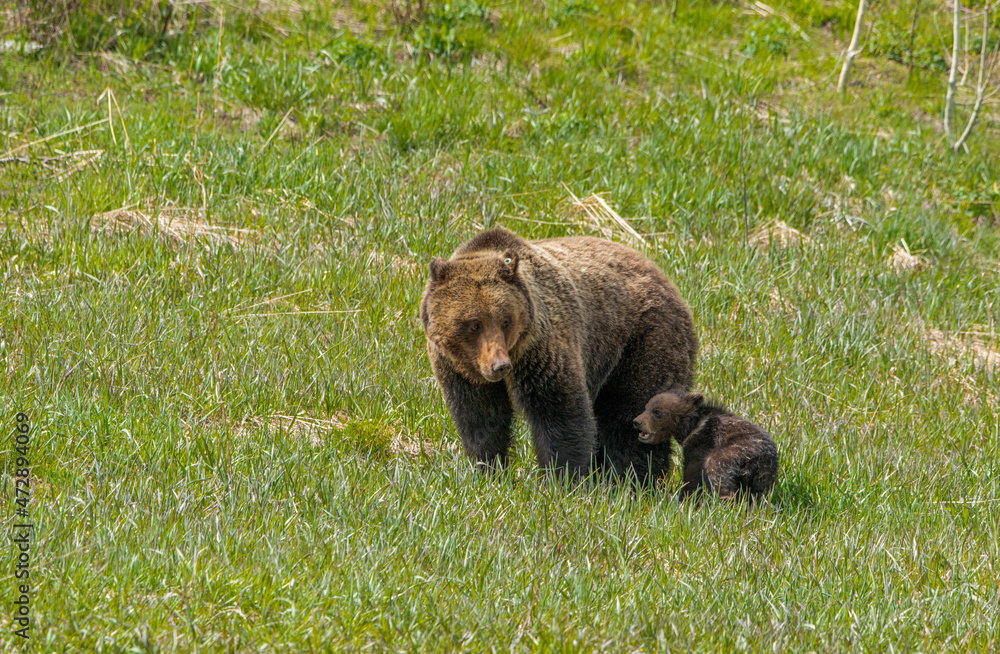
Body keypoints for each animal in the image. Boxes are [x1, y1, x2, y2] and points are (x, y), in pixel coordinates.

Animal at [420, 227, 698, 484]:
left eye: (505, 321)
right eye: (474, 324)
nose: (500, 365)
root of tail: (666, 279)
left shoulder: (541, 351)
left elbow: (560, 415)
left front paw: (562, 480)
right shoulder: (458, 369)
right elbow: (481, 419)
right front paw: (488, 469)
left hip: (641, 339)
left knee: (631, 414)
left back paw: (632, 480)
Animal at [632, 390, 778, 501]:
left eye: (657, 411)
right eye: (646, 407)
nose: (636, 421)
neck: (692, 427)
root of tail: (759, 459)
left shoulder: (701, 444)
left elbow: (693, 473)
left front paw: (685, 499)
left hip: (736, 453)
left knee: (717, 469)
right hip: (764, 475)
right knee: (759, 493)